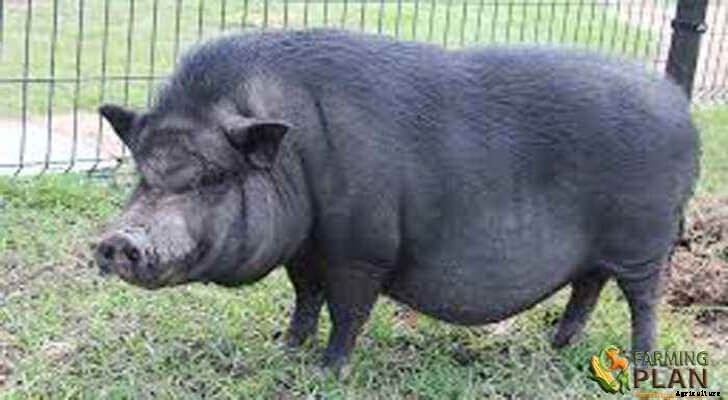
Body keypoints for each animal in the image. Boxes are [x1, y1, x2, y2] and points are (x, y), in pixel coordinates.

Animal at [95, 29, 699, 375]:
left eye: (214, 176)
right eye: (142, 173)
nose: (117, 241)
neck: (300, 156)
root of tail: (683, 112)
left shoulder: (361, 249)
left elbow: (347, 311)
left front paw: (326, 373)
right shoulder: (306, 250)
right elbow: (305, 300)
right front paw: (284, 350)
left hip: (645, 239)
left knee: (644, 299)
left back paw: (640, 365)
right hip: (599, 250)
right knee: (587, 286)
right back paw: (557, 345)